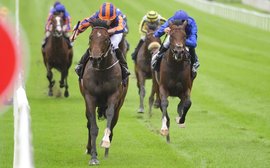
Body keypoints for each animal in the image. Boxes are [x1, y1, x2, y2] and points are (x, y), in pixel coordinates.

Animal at [79, 20, 129, 165]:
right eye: (91, 37)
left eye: (106, 39)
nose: (95, 58)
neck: (101, 71)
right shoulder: (89, 98)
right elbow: (93, 127)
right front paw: (93, 157)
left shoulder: (114, 96)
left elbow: (110, 118)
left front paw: (105, 142)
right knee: (89, 123)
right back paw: (89, 148)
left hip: (119, 105)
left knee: (112, 124)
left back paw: (106, 152)